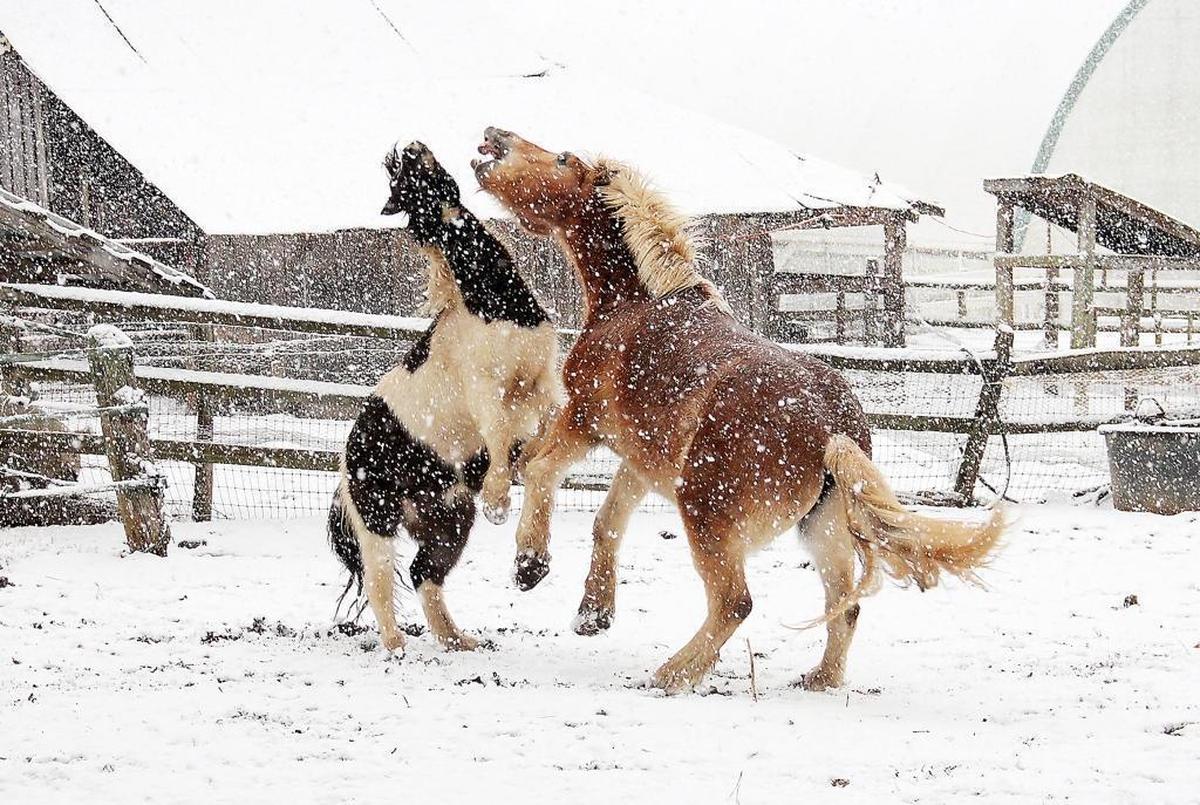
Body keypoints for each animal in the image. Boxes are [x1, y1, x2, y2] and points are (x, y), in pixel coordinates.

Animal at [328, 140, 560, 653]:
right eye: (404, 184)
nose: (411, 147)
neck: (493, 303)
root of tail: (346, 465)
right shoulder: (488, 393)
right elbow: (499, 440)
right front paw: (499, 502)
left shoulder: (539, 386)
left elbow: (543, 434)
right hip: (377, 523)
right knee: (380, 582)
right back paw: (397, 647)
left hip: (449, 519)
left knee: (423, 575)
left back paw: (458, 640)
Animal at [473, 127, 1003, 693]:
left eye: (562, 159)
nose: (492, 136)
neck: (636, 304)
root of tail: (832, 431)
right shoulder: (641, 460)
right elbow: (606, 521)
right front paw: (593, 613)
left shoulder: (584, 418)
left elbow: (538, 467)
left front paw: (529, 562)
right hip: (821, 529)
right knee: (844, 605)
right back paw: (817, 680)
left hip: (707, 513)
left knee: (735, 602)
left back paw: (671, 674)